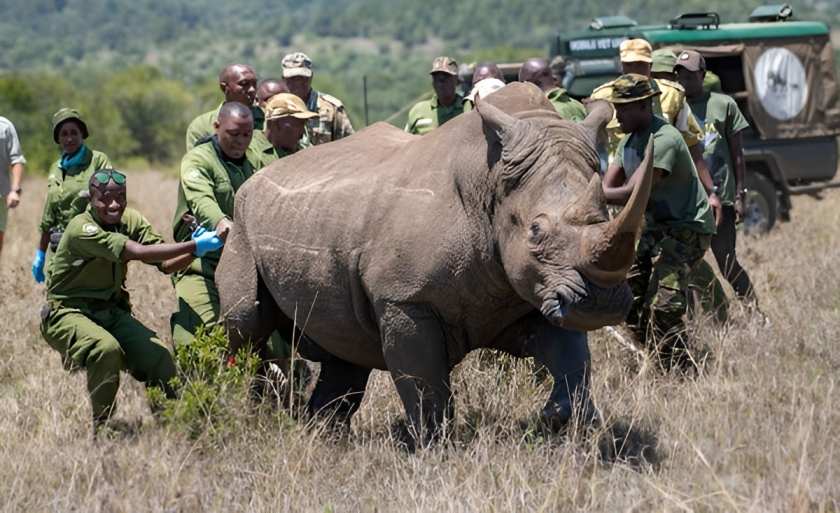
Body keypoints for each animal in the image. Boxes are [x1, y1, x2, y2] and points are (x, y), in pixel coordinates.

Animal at [217, 83, 653, 443]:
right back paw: (239, 409)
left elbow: (572, 361)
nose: (602, 303)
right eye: (535, 231)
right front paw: (430, 448)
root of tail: (256, 177)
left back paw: (324, 438)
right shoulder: (405, 299)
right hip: (242, 224)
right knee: (246, 326)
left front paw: (557, 417)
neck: (489, 184)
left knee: (344, 353)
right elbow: (424, 383)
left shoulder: (540, 289)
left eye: (606, 216)